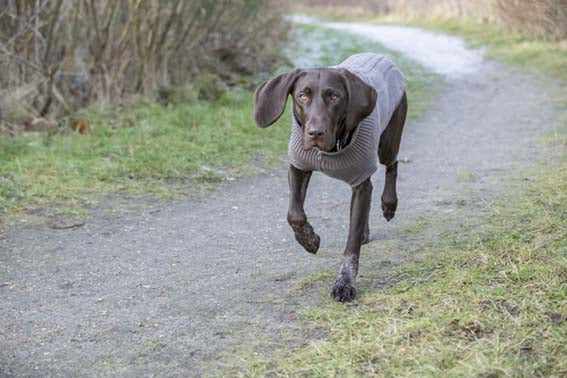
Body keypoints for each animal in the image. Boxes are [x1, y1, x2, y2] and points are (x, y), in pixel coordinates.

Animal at [254, 53, 408, 302]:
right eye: (303, 95)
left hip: (388, 142)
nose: (315, 133)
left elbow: (351, 245)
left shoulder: (360, 182)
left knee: (392, 166)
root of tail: (383, 58)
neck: (329, 150)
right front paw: (309, 240)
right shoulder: (299, 166)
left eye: (334, 96)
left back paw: (389, 204)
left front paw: (345, 283)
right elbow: (294, 214)